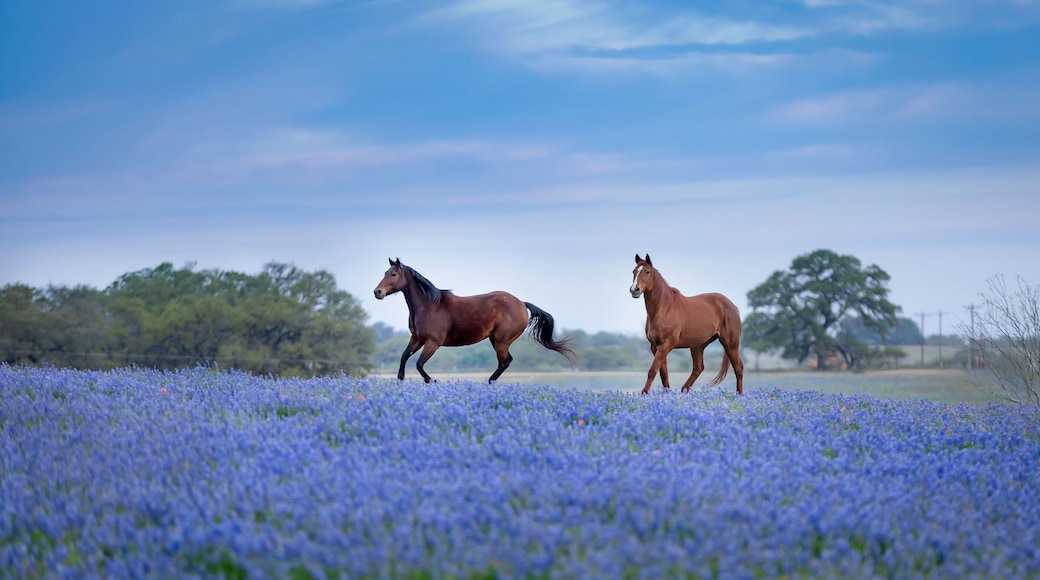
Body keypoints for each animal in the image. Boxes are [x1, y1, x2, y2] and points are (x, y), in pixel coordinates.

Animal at [374, 258, 576, 383]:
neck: (428, 305)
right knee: (507, 361)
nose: (377, 292)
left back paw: (490, 382)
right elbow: (404, 357)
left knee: (504, 362)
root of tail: (521, 303)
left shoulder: (433, 342)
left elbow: (419, 364)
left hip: (501, 341)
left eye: (393, 274)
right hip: (496, 340)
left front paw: (432, 381)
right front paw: (401, 380)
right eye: (384, 272)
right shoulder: (417, 338)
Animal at [630, 254, 744, 395]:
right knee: (698, 368)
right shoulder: (655, 347)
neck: (664, 308)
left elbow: (652, 371)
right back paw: (684, 390)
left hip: (730, 344)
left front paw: (644, 393)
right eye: (634, 271)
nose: (634, 290)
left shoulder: (665, 345)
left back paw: (740, 396)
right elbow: (663, 374)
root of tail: (733, 307)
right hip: (698, 346)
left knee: (738, 368)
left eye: (647, 272)